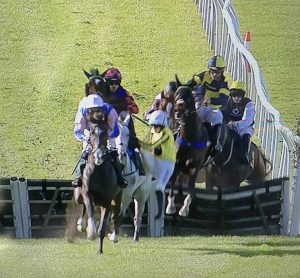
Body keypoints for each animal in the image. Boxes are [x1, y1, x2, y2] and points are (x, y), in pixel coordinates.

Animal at [165, 84, 210, 217]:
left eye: (190, 95)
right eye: (176, 93)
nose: (179, 106)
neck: (190, 140)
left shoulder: (195, 167)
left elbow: (191, 189)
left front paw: (184, 209)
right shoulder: (177, 164)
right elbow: (172, 185)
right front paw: (170, 207)